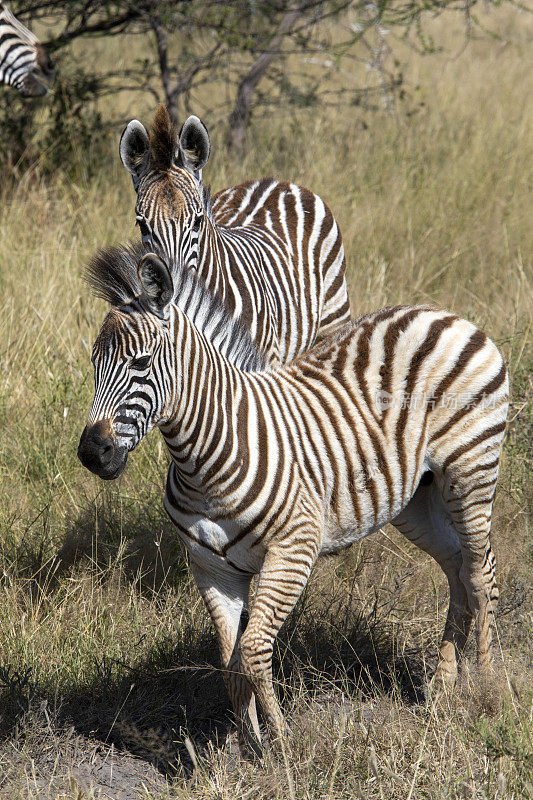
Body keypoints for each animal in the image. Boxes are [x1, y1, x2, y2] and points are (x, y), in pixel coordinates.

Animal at [78, 244, 508, 756]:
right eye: (92, 364)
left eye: (141, 364)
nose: (92, 453)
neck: (204, 458)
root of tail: (444, 314)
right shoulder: (211, 567)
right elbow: (230, 664)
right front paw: (245, 746)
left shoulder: (292, 550)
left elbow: (253, 651)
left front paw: (281, 743)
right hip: (416, 500)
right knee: (457, 568)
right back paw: (442, 688)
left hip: (470, 472)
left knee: (481, 575)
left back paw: (485, 687)